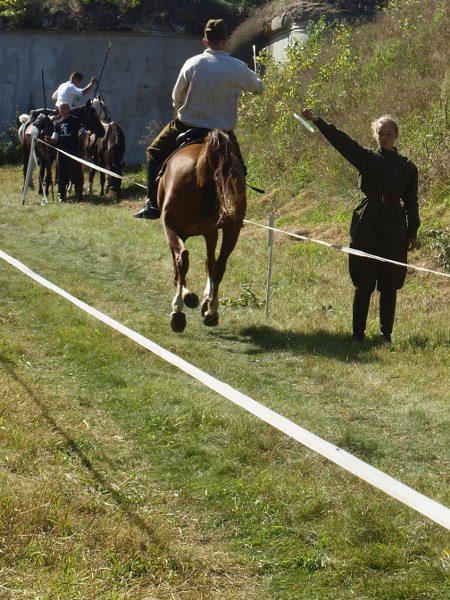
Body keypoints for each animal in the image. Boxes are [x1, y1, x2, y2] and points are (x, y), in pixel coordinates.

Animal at [158, 129, 246, 332]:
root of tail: (205, 159)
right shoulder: (211, 232)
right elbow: (210, 264)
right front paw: (206, 301)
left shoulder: (177, 231)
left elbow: (178, 265)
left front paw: (187, 295)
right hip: (232, 230)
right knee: (220, 265)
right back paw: (212, 312)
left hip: (171, 226)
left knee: (182, 258)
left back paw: (178, 311)